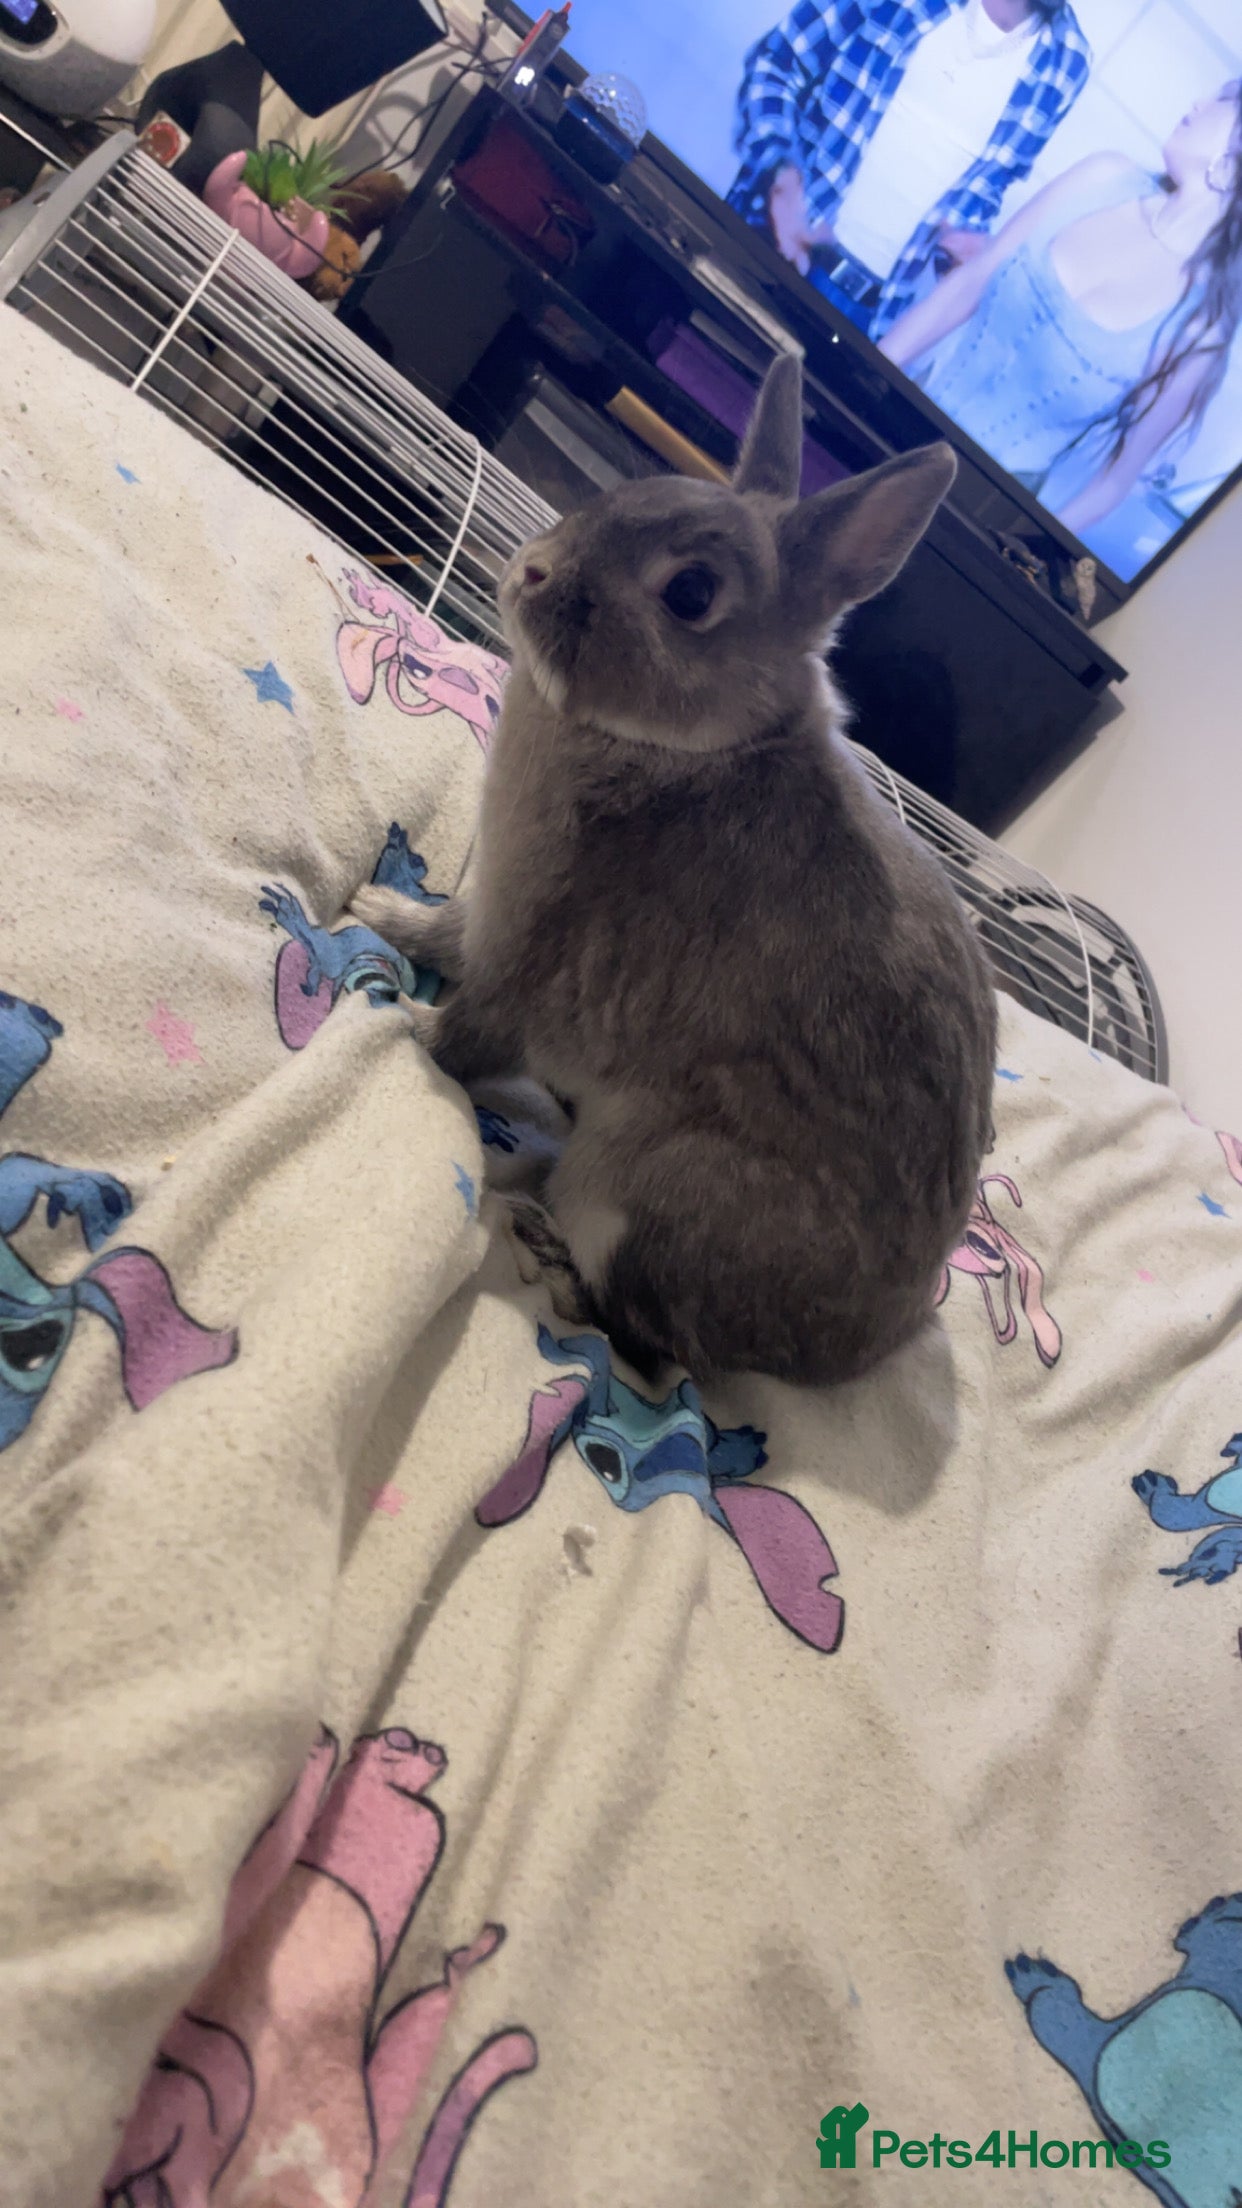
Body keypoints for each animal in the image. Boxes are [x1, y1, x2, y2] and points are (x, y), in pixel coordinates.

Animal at [351, 353, 997, 1387]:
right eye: (623, 493)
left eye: (690, 593)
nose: (532, 570)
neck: (686, 750)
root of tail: (850, 1356)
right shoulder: (490, 913)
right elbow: (444, 927)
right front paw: (381, 910)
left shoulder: (539, 965)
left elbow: (465, 1040)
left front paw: (402, 1023)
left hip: (633, 1187)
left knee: (649, 1353)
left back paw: (541, 1245)